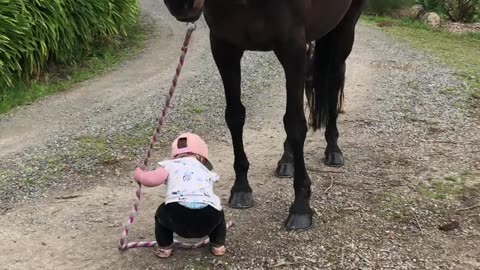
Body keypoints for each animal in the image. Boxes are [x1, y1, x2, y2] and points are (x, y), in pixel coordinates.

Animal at [163, 0, 366, 232]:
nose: (181, 5)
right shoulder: (224, 47)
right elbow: (235, 115)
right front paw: (241, 188)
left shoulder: (292, 47)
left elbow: (295, 124)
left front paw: (301, 206)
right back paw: (287, 160)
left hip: (344, 28)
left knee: (334, 78)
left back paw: (333, 149)